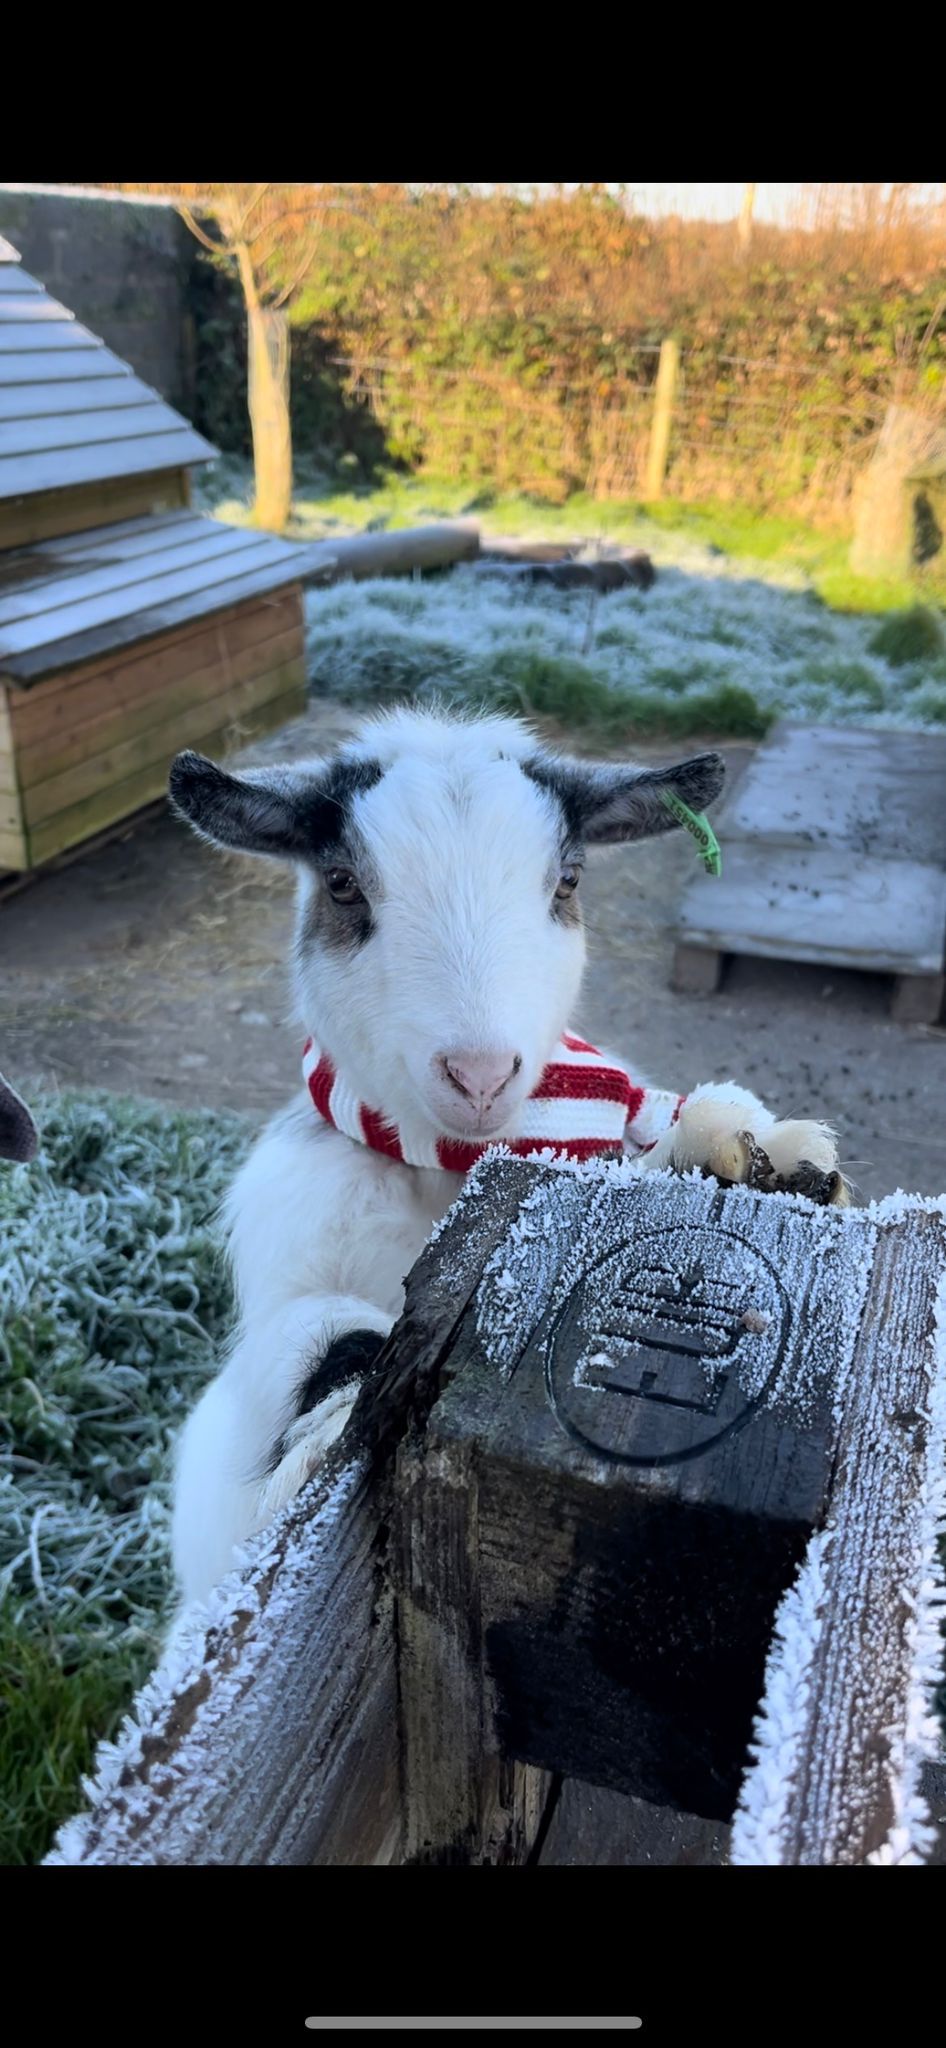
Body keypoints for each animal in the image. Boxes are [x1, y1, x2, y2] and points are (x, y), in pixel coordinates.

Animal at [165, 712, 847, 1605]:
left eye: (567, 881)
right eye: (343, 883)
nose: (480, 1077)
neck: (453, 1166)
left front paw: (741, 1157)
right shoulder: (289, 1274)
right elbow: (320, 1333)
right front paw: (327, 1433)